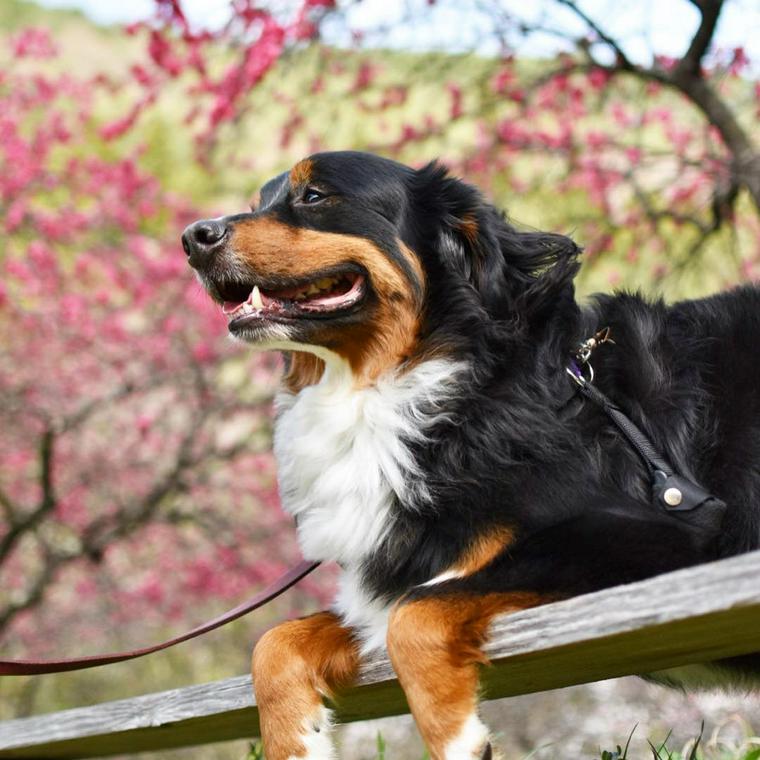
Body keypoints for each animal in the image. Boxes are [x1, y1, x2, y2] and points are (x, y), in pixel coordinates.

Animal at [183, 148, 760, 760]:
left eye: (314, 195)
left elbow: (415, 613)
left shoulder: (663, 537)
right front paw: (297, 742)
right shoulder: (389, 580)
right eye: (259, 203)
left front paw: (459, 737)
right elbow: (275, 641)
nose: (194, 237)